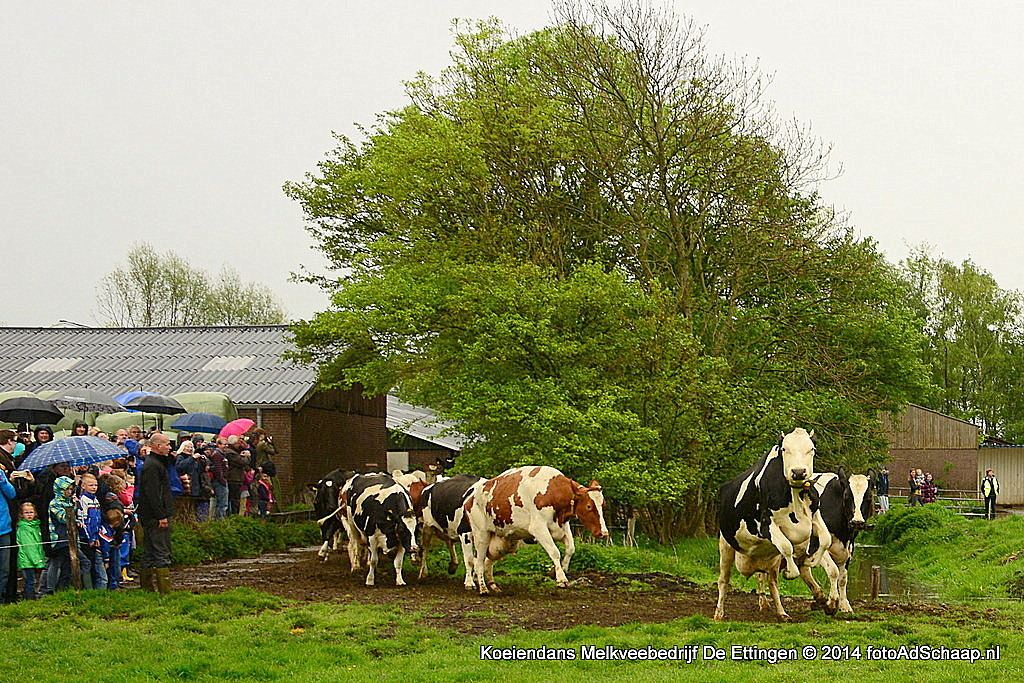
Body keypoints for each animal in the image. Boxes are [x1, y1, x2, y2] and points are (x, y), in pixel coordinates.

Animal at [460, 464, 602, 593]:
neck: (551, 491)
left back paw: (491, 585)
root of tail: (469, 499)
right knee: (477, 561)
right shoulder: (538, 528)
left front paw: (560, 569)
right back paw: (482, 587)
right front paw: (561, 579)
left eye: (603, 504)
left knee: (487, 561)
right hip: (481, 534)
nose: (603, 532)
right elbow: (555, 552)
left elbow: (571, 549)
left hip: (501, 544)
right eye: (589, 506)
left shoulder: (562, 526)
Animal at [712, 430, 839, 622]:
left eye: (812, 449)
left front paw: (812, 561)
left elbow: (825, 542)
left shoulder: (814, 516)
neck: (794, 494)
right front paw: (790, 572)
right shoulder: (766, 525)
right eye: (785, 449)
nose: (798, 472)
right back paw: (719, 613)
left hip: (771, 559)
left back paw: (782, 613)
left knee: (772, 583)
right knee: (723, 580)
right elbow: (787, 548)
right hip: (725, 545)